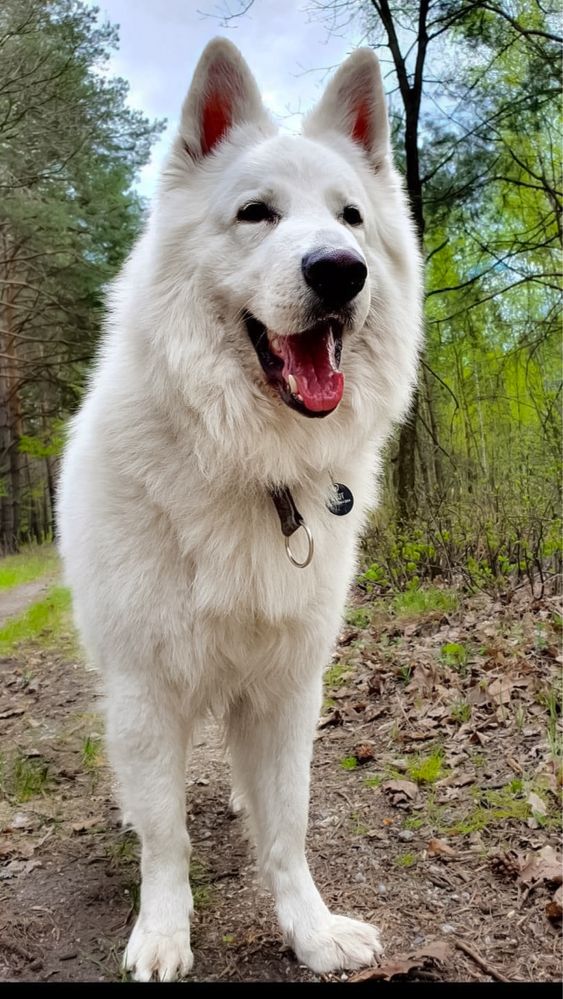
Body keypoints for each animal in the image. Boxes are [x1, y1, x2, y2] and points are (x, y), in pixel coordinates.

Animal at [58, 37, 424, 984]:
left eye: (350, 218)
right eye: (255, 214)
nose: (337, 269)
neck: (252, 461)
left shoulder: (288, 687)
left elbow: (286, 828)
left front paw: (312, 931)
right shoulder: (147, 688)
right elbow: (165, 838)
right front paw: (161, 932)